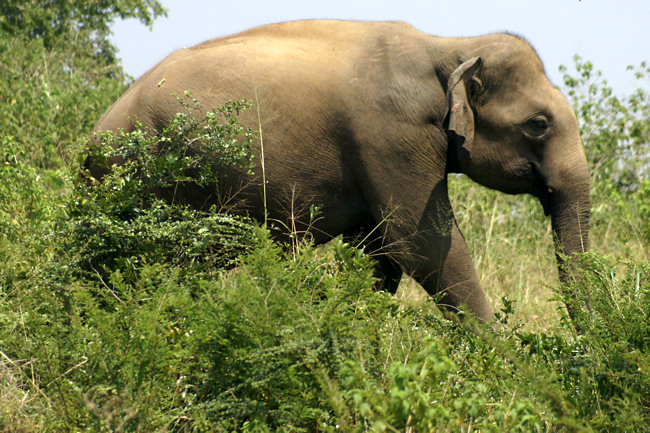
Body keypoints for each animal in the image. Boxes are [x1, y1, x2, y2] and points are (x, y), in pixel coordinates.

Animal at [88, 20, 588, 320]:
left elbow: (379, 253)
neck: (450, 47)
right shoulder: (390, 134)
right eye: (539, 124)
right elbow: (422, 245)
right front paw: (509, 368)